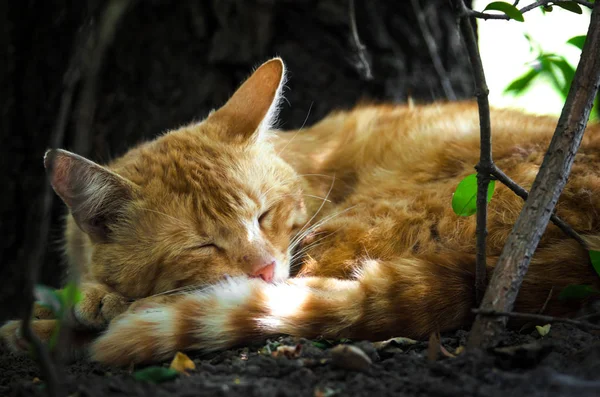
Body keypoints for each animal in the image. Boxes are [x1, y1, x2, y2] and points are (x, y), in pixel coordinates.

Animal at [1, 58, 600, 366]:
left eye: (264, 215)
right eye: (202, 244)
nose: (265, 267)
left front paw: (80, 308)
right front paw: (82, 298)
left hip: (370, 219)